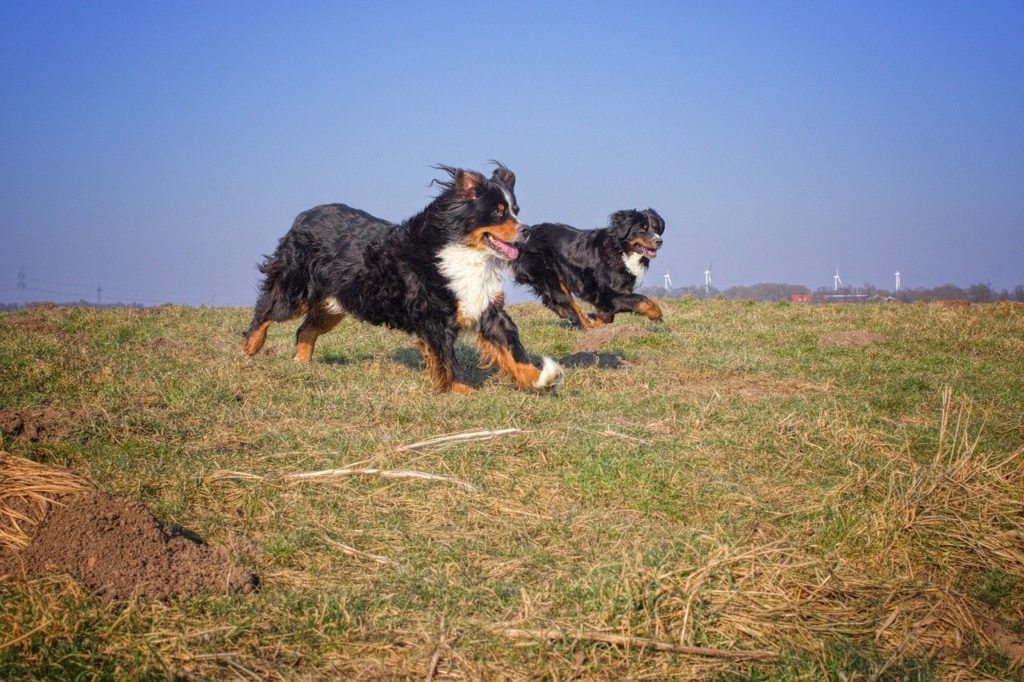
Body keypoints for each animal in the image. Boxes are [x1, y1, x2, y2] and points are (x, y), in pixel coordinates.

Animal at [240, 162, 565, 393]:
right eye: (497, 212)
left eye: (515, 210)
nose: (527, 230)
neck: (463, 251)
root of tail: (305, 215)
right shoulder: (435, 315)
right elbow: (446, 359)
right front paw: (461, 390)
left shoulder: (485, 304)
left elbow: (511, 348)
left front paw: (540, 378)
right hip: (295, 289)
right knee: (267, 310)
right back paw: (251, 347)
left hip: (335, 304)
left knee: (305, 330)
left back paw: (302, 363)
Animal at [509, 206, 667, 327]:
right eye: (642, 229)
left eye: (656, 228)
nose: (659, 241)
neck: (622, 251)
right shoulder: (606, 293)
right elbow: (640, 299)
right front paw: (656, 313)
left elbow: (609, 315)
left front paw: (597, 318)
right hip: (550, 276)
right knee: (570, 306)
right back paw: (588, 327)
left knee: (554, 303)